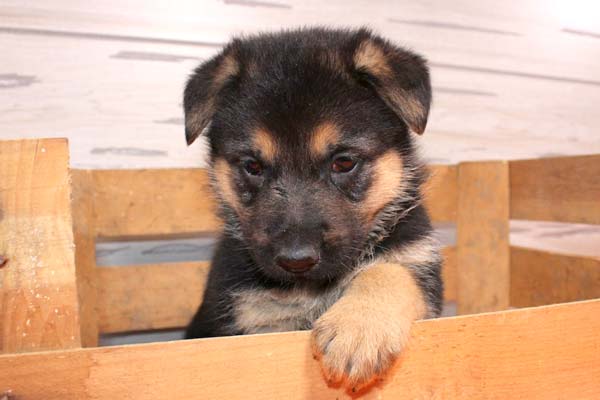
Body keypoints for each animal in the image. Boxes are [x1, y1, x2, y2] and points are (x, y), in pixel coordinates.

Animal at [185, 28, 442, 390]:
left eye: (344, 162)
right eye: (252, 166)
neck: (315, 288)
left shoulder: (417, 261)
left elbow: (388, 270)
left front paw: (358, 327)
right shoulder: (255, 320)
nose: (297, 261)